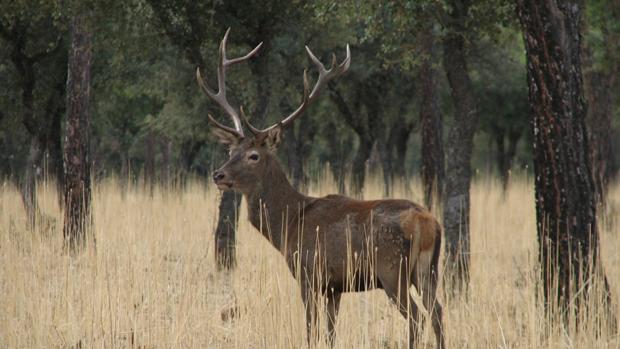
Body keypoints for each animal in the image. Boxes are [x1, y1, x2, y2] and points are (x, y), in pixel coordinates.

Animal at [199, 29, 446, 348]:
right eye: (231, 150)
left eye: (254, 155)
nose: (218, 174)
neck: (289, 223)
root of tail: (426, 222)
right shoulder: (334, 287)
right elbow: (329, 333)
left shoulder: (308, 273)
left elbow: (310, 329)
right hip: (429, 269)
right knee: (437, 311)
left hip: (392, 269)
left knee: (417, 317)